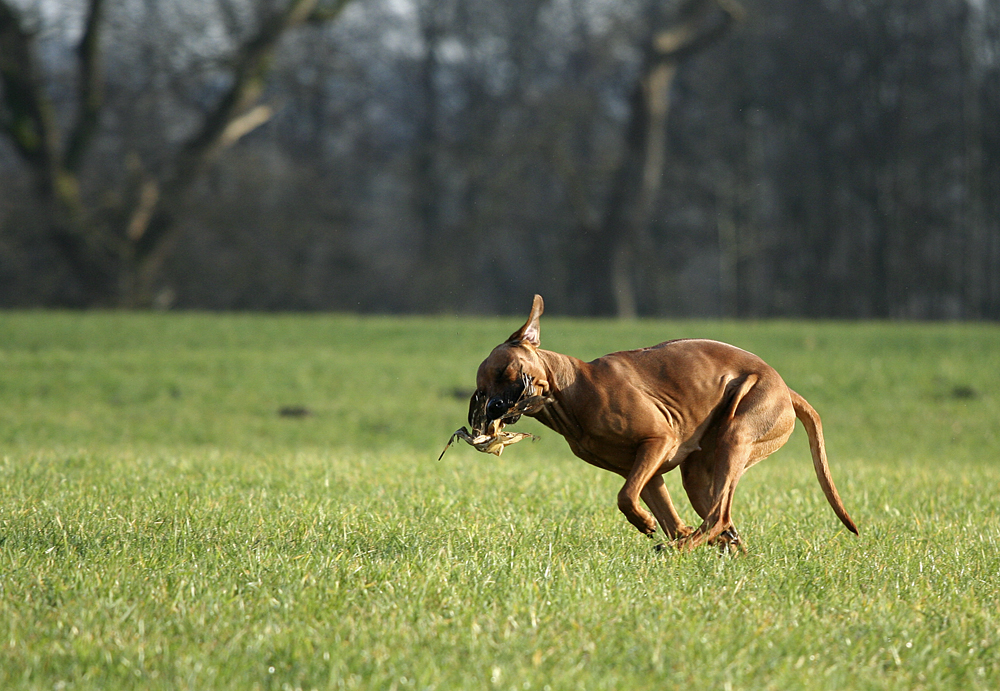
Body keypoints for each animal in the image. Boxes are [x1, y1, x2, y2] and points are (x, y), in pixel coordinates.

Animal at [470, 294, 860, 548]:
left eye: (507, 372)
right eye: (481, 390)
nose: (494, 408)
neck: (574, 391)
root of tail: (786, 388)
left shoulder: (657, 442)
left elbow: (625, 497)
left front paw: (646, 524)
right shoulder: (648, 472)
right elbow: (656, 509)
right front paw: (667, 528)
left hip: (736, 435)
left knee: (719, 517)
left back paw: (683, 548)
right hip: (699, 473)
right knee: (724, 523)